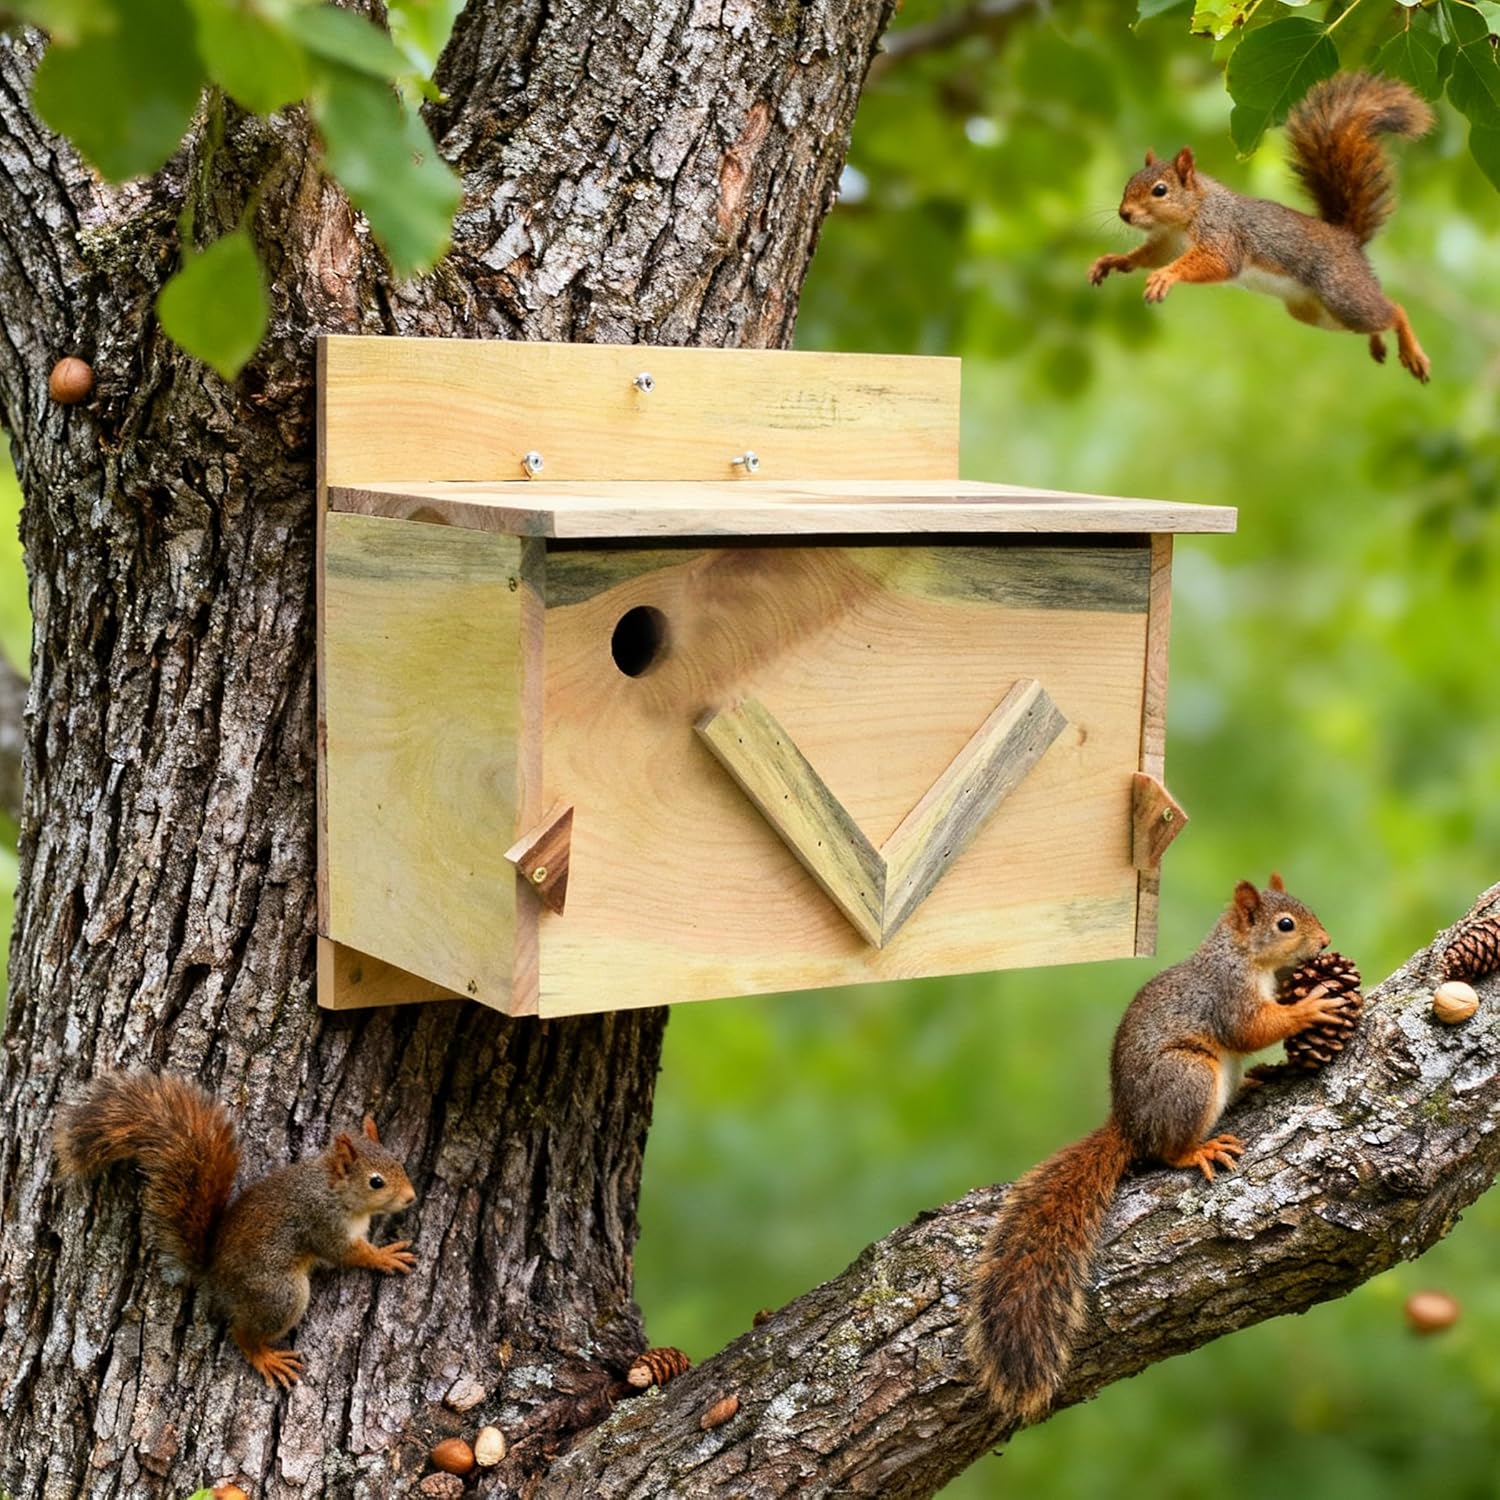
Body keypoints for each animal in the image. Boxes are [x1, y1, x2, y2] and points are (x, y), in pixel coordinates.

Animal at [54, 1070, 418, 1389]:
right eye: (376, 1182)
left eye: (399, 1162)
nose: (411, 1197)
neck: (334, 1191)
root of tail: (214, 1276)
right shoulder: (322, 1222)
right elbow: (347, 1253)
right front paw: (384, 1256)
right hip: (280, 1293)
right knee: (243, 1334)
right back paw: (265, 1358)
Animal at [966, 875, 1344, 1421]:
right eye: (1286, 924)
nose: (1327, 942)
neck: (1240, 956)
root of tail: (1130, 1126)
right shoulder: (1227, 997)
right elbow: (1253, 1028)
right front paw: (1311, 1007)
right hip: (1189, 1076)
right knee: (1167, 1151)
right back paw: (1198, 1149)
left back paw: (1257, 1080)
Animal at [1088, 72, 1434, 382]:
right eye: (1128, 183)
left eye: (1160, 190)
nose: (1124, 214)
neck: (1187, 217)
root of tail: (1347, 238)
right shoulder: (1167, 243)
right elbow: (1148, 256)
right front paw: (1113, 261)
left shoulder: (1222, 233)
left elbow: (1217, 261)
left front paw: (1165, 277)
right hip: (1316, 312)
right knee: (1374, 322)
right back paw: (1378, 342)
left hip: (1343, 294)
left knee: (1394, 311)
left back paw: (1412, 351)